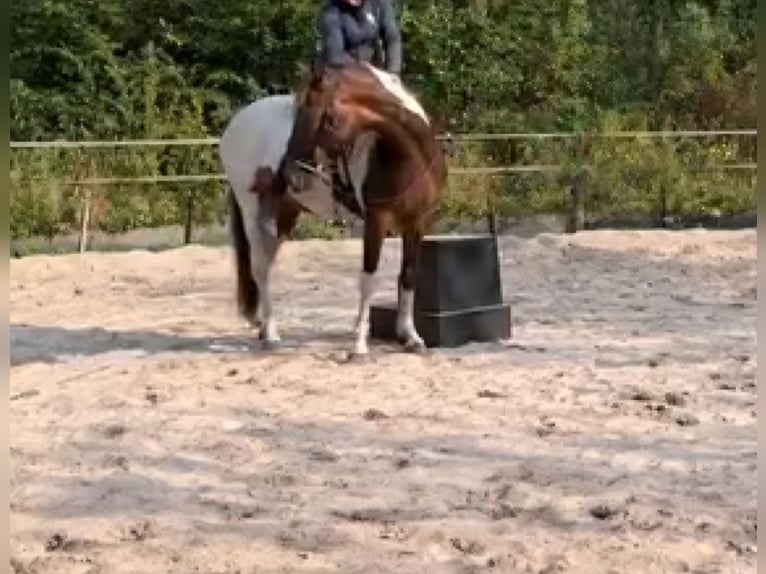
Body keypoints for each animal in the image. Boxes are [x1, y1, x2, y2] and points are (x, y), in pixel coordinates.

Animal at [219, 61, 447, 356]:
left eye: (324, 119)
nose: (290, 173)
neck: (405, 155)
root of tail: (235, 124)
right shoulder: (377, 219)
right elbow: (368, 278)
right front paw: (359, 344)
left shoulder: (416, 221)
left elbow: (408, 275)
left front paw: (410, 336)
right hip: (252, 213)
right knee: (259, 268)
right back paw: (271, 335)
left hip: (283, 215)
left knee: (266, 265)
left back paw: (264, 328)